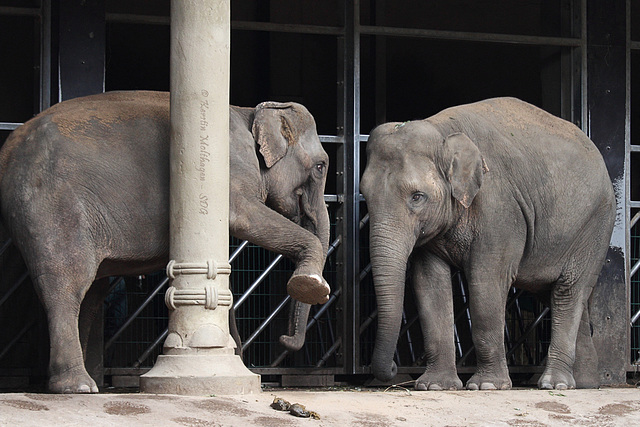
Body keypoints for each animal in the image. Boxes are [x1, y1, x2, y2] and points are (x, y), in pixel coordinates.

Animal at [0, 91, 330, 394]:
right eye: (321, 167)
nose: (284, 340)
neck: (249, 112)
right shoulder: (230, 172)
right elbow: (244, 217)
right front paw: (310, 285)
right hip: (51, 205)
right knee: (68, 284)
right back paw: (78, 386)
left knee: (90, 295)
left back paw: (87, 382)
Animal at [360, 96, 616, 392]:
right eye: (365, 195)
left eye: (417, 197)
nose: (393, 369)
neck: (442, 131)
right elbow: (428, 283)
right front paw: (435, 386)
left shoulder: (499, 208)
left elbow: (486, 281)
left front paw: (487, 386)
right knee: (561, 294)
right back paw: (584, 383)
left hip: (595, 226)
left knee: (568, 291)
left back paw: (555, 384)